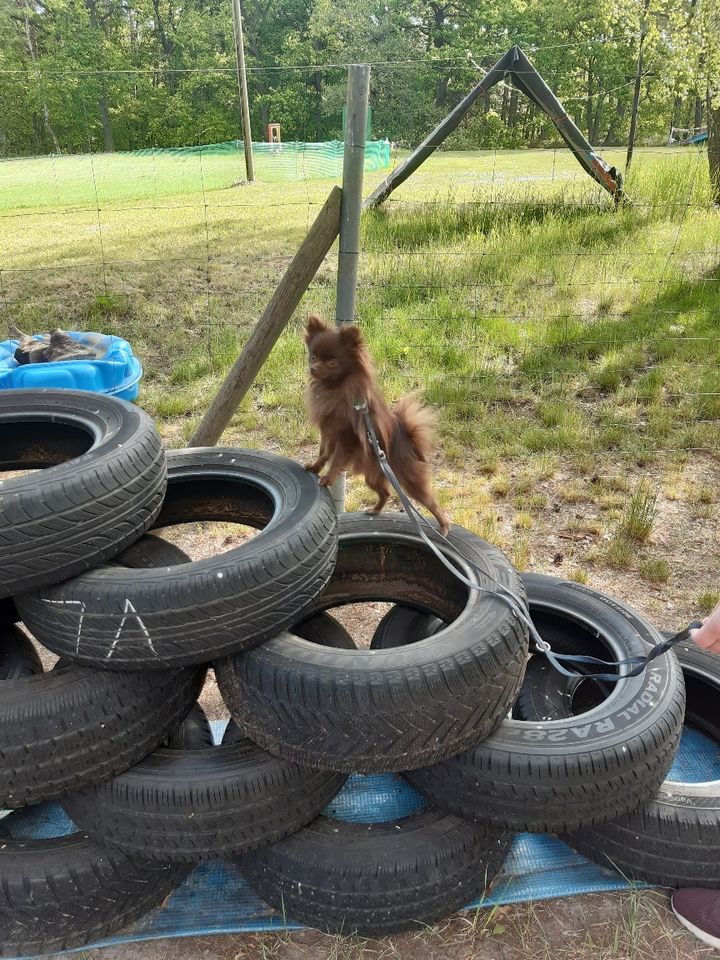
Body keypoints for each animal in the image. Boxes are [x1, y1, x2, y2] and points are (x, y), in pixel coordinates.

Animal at [304, 314, 450, 532]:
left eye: (332, 362)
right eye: (313, 356)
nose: (313, 368)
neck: (334, 389)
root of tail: (408, 438)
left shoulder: (346, 438)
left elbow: (336, 459)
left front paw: (328, 478)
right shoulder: (328, 432)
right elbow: (324, 453)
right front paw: (315, 467)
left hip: (408, 480)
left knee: (431, 502)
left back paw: (444, 526)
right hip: (373, 476)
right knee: (386, 493)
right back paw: (374, 510)